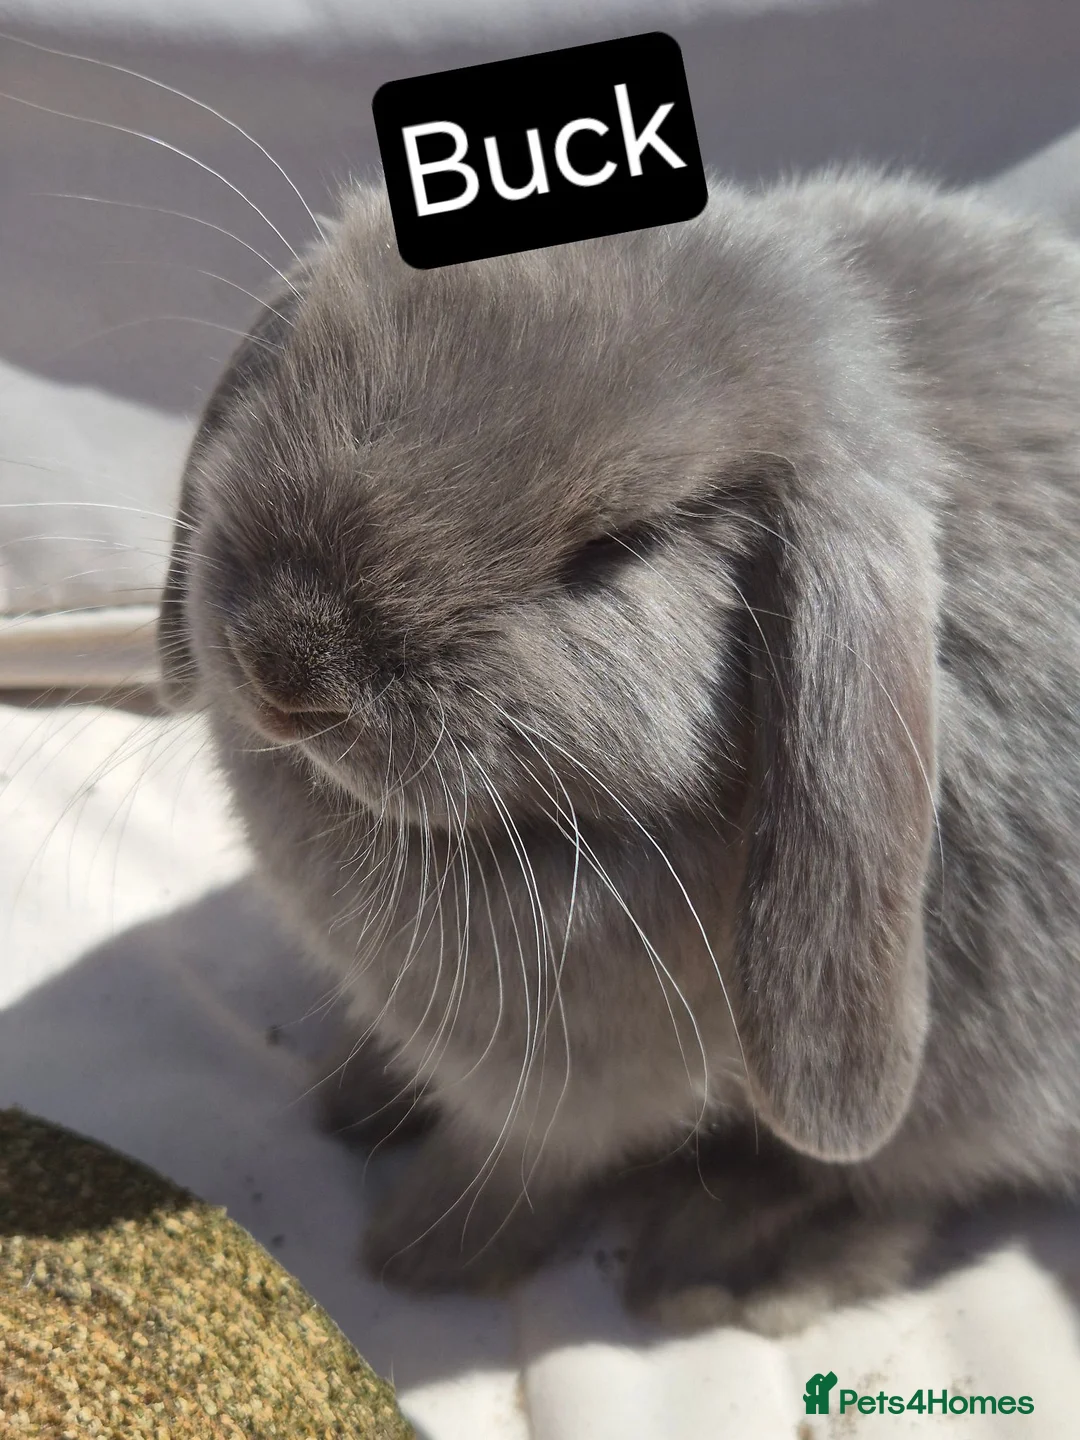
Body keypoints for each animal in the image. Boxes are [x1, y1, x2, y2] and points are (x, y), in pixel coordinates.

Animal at [158, 166, 1080, 1335]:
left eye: (616, 549)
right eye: (310, 362)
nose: (287, 670)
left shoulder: (566, 1101)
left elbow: (509, 1171)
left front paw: (416, 1253)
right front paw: (353, 1096)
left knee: (906, 1190)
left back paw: (724, 1264)